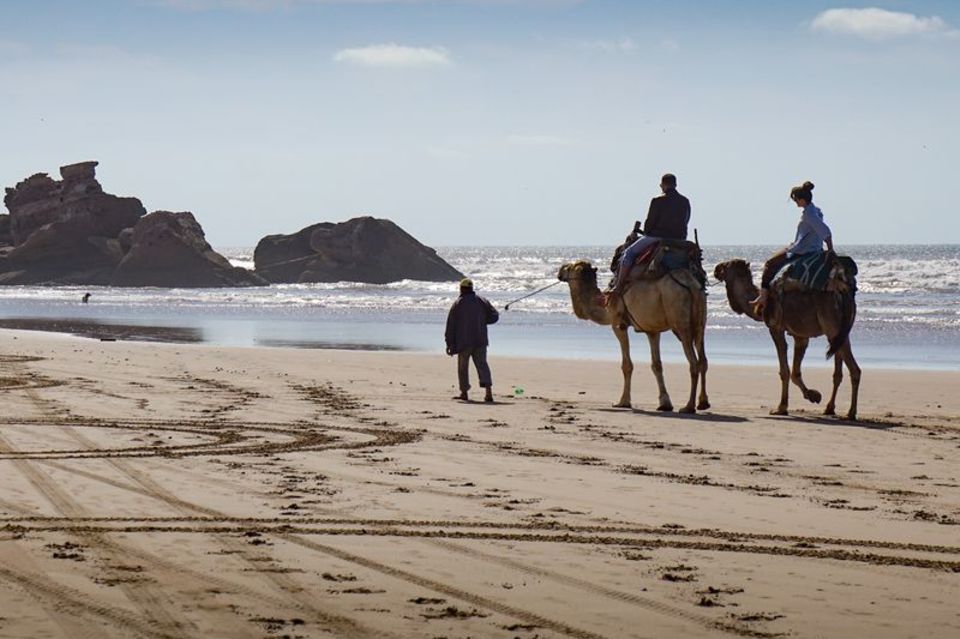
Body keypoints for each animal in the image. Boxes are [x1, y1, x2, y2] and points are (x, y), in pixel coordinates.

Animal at [560, 262, 708, 416]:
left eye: (569, 268)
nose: (559, 271)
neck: (603, 303)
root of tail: (691, 285)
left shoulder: (618, 324)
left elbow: (627, 365)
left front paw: (623, 402)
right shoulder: (652, 329)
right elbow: (656, 365)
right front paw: (664, 403)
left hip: (680, 320)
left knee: (693, 363)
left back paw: (688, 406)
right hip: (700, 319)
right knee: (703, 359)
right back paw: (703, 403)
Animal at [712, 258, 864, 420]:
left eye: (726, 265)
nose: (715, 269)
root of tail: (844, 293)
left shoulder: (775, 328)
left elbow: (785, 370)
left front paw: (781, 407)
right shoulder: (800, 335)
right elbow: (795, 373)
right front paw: (813, 395)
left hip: (832, 328)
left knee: (855, 370)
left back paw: (851, 413)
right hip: (839, 333)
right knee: (838, 372)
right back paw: (829, 408)